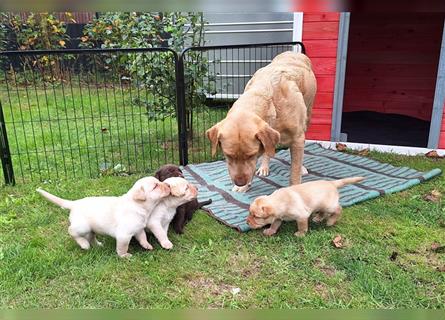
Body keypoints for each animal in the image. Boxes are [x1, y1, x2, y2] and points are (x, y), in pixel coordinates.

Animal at [36, 176, 170, 258]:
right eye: (155, 186)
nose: (168, 185)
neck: (138, 205)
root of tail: (74, 203)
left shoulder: (138, 228)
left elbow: (142, 237)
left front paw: (146, 245)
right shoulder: (124, 234)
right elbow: (123, 247)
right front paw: (124, 256)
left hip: (91, 229)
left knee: (91, 236)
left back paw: (97, 245)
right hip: (82, 226)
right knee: (71, 231)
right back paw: (84, 244)